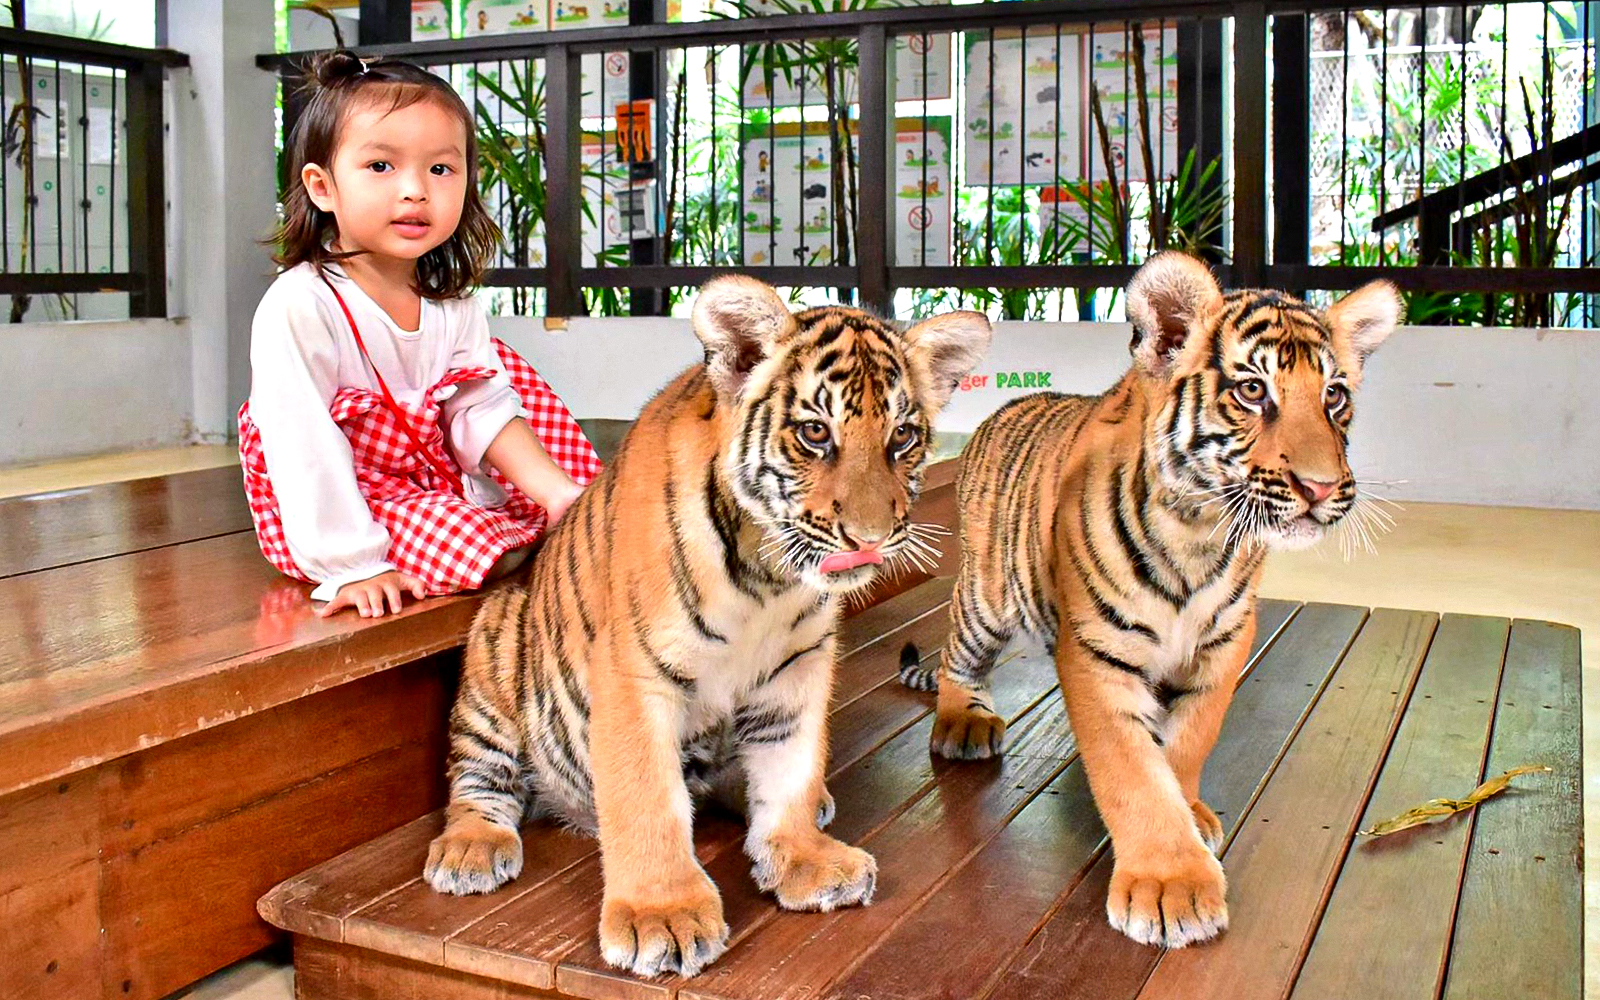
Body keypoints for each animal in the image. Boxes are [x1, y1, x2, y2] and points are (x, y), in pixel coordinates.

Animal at [422, 275, 992, 980]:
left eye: (904, 437)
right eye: (815, 432)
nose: (870, 539)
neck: (767, 578)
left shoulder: (797, 669)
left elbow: (790, 768)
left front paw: (804, 857)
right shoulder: (635, 678)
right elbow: (647, 799)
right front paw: (661, 915)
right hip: (496, 648)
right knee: (480, 778)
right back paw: (470, 848)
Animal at [897, 252, 1400, 949]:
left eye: (1335, 396)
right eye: (1252, 392)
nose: (1322, 488)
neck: (1201, 535)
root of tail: (998, 412)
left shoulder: (1226, 641)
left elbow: (1188, 740)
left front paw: (1189, 814)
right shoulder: (1097, 651)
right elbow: (1129, 769)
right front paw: (1170, 887)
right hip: (986, 598)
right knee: (956, 658)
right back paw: (963, 723)